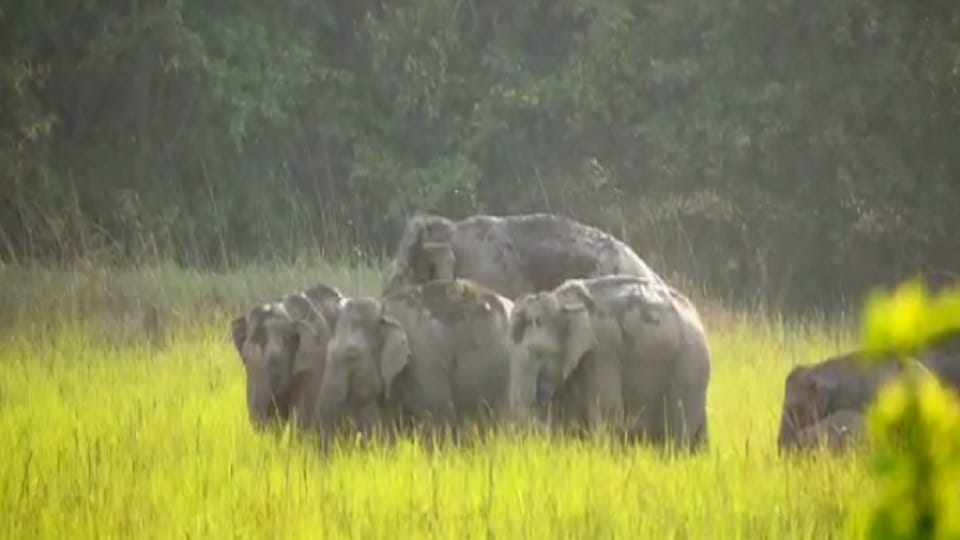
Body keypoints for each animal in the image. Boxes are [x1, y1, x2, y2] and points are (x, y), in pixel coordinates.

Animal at [508, 275, 712, 451]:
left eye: (539, 353)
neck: (563, 301)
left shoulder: (603, 352)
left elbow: (608, 415)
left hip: (689, 367)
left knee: (678, 433)